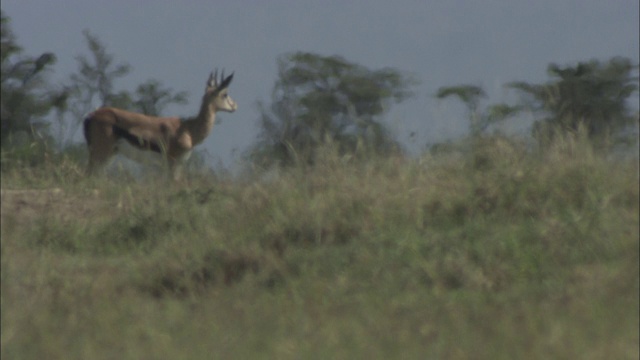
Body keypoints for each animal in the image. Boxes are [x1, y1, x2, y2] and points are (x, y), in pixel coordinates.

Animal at [82, 69, 236, 180]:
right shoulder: (173, 163)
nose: (235, 106)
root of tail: (91, 115)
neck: (188, 129)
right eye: (225, 94)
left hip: (108, 155)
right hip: (100, 154)